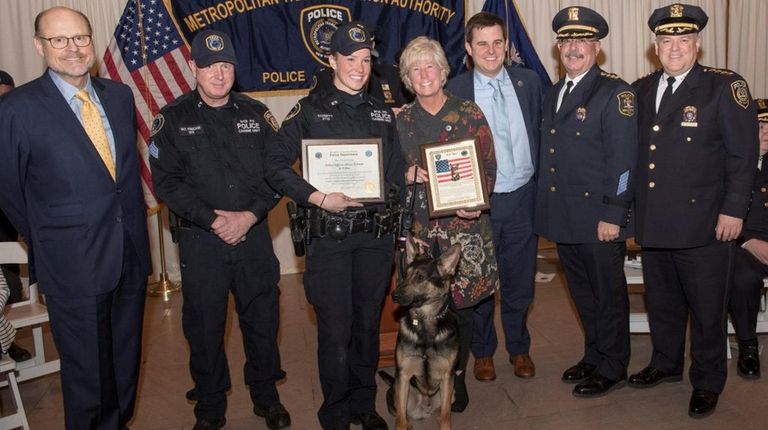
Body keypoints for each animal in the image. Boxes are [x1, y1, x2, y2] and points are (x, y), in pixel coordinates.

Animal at [388, 239, 460, 430]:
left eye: (420, 277)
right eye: (405, 274)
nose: (393, 295)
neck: (426, 321)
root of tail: (424, 407)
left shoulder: (447, 377)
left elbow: (446, 416)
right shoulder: (403, 376)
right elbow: (400, 420)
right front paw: (403, 425)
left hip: (451, 393)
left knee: (441, 411)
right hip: (395, 393)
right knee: (403, 413)